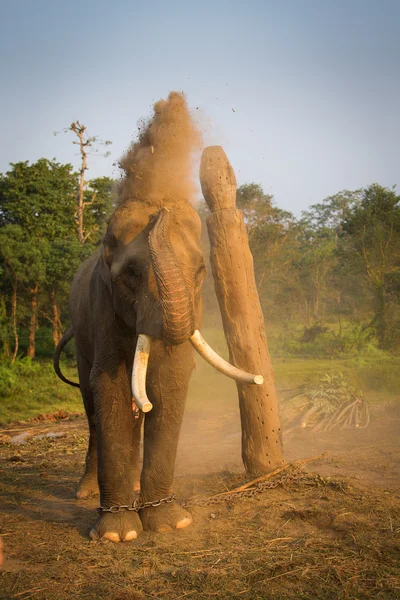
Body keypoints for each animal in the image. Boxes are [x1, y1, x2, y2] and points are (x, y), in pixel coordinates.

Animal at [54, 198, 260, 544]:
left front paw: (170, 524)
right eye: (131, 273)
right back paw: (86, 491)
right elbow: (108, 385)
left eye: (201, 272)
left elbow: (169, 380)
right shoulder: (103, 306)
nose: (159, 212)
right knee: (91, 406)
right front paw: (118, 535)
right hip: (81, 337)